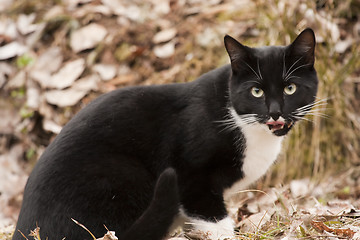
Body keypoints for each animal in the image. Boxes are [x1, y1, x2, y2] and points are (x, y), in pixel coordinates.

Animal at [12, 28, 318, 240]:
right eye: (256, 91)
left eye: (290, 88)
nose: (276, 112)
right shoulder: (192, 176)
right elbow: (215, 221)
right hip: (125, 175)